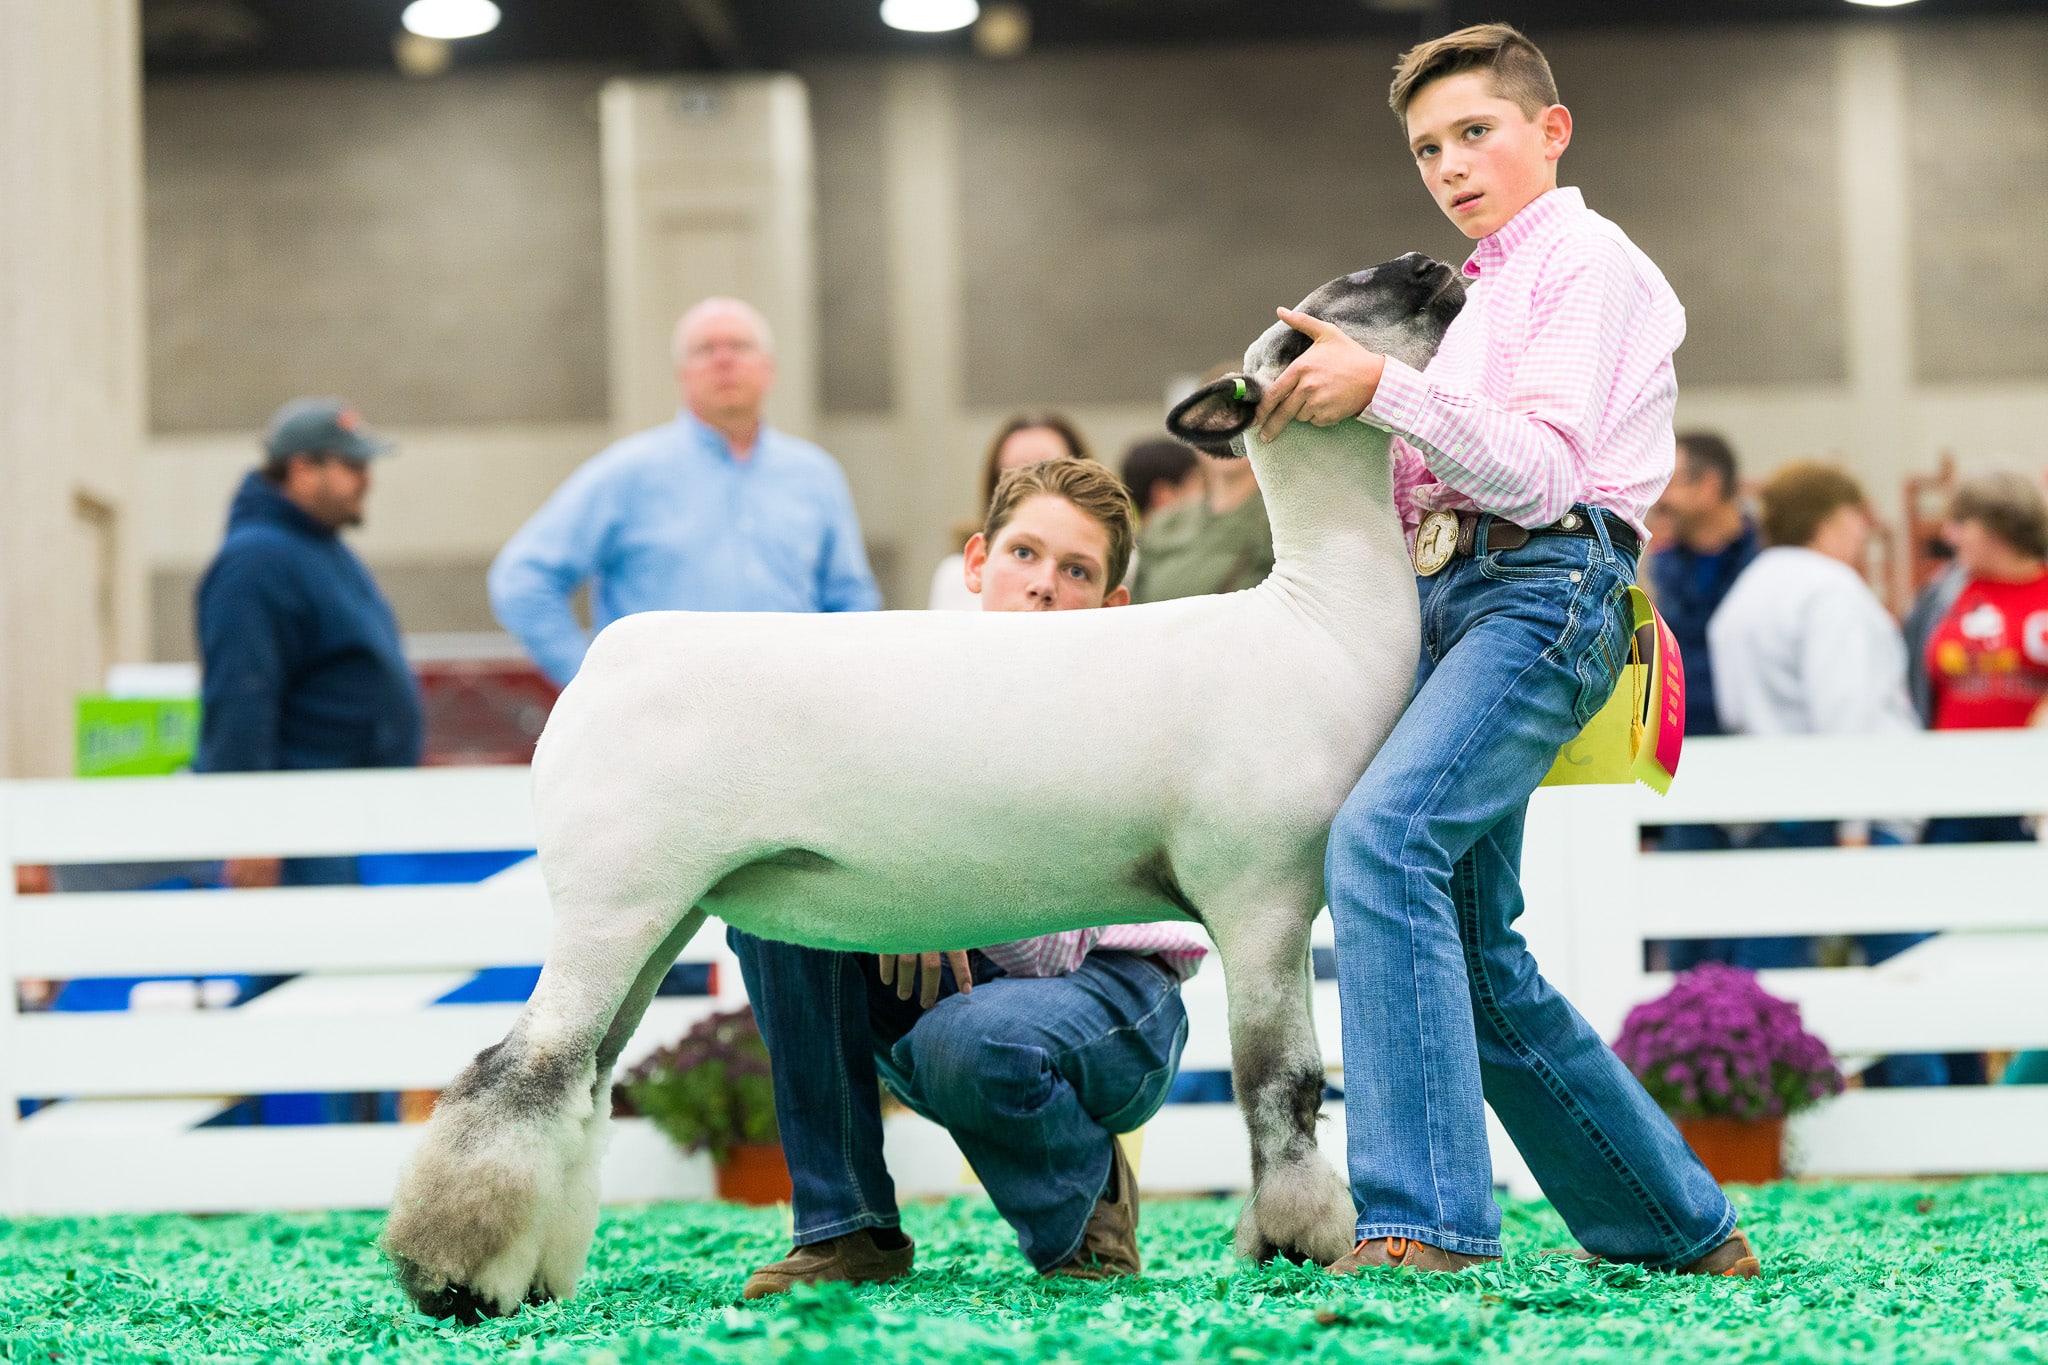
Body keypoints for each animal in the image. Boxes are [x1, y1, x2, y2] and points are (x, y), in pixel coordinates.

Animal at [382, 252, 1467, 1321]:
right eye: (1321, 313)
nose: (1436, 266)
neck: (1314, 619)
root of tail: (603, 661)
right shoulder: (1261, 893)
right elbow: (1284, 1083)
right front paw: (1298, 1243)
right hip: (614, 897)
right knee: (520, 1071)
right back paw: (453, 1281)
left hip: (662, 910)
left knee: (587, 1081)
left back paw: (533, 1279)